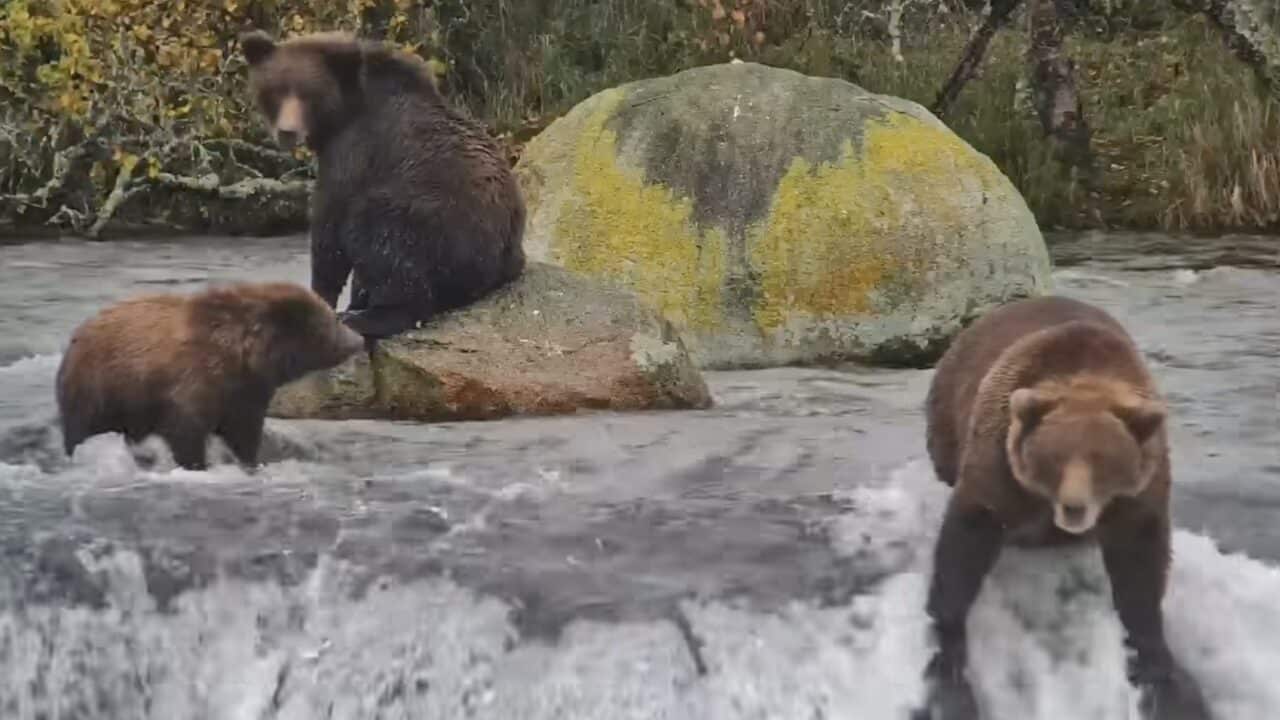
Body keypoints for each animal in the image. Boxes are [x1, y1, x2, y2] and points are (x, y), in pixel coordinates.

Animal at [56, 281, 364, 471]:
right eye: (331, 321)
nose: (358, 339)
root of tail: (76, 335)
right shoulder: (192, 383)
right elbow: (186, 431)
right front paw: (197, 465)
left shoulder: (246, 394)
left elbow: (244, 433)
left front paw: (250, 462)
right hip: (98, 388)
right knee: (81, 428)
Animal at [238, 30, 527, 343]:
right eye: (276, 90)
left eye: (308, 94)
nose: (287, 131)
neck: (343, 112)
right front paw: (352, 299)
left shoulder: (354, 151)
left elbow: (330, 227)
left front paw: (323, 298)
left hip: (435, 223)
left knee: (381, 240)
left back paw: (366, 317)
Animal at [914, 296, 1212, 720]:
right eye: (1055, 458)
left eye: (1104, 461)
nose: (1074, 508)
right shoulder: (1000, 467)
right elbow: (966, 540)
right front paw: (949, 656)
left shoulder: (1137, 495)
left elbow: (1140, 569)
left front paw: (1160, 670)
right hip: (948, 414)